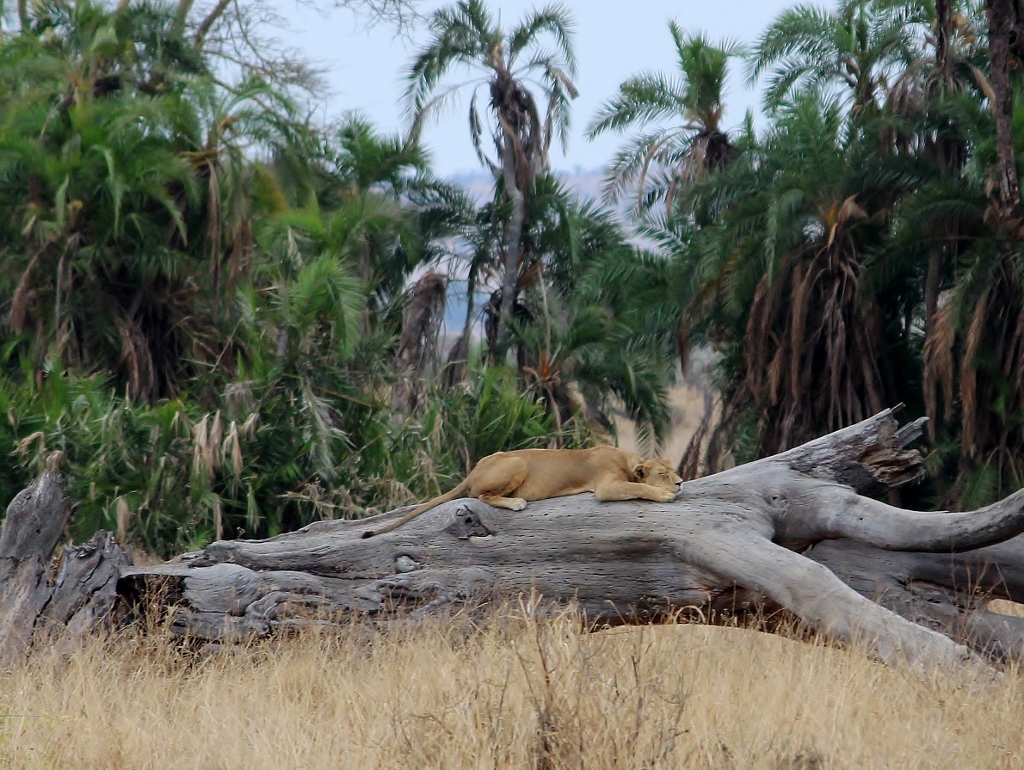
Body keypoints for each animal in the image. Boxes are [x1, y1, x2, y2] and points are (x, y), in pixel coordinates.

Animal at [360, 448, 679, 536]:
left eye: (674, 469)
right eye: (663, 474)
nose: (679, 483)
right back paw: (516, 503)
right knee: (481, 496)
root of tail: (473, 470)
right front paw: (665, 495)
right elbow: (638, 486)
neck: (628, 459)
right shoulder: (606, 486)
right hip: (517, 461)